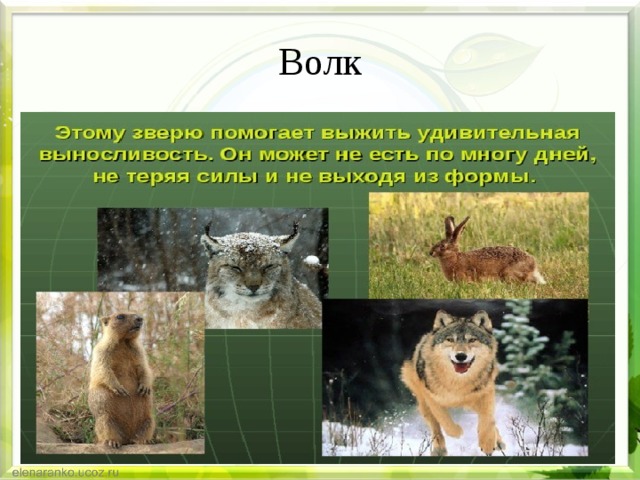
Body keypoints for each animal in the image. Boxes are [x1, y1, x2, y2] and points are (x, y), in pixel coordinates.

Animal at [400, 310, 505, 456]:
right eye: (450, 340)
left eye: (472, 340)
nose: (460, 356)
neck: (458, 383)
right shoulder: (432, 398)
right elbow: (445, 420)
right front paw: (458, 432)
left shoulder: (486, 392)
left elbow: (488, 420)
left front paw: (488, 443)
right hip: (423, 404)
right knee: (435, 427)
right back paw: (439, 450)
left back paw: (499, 442)